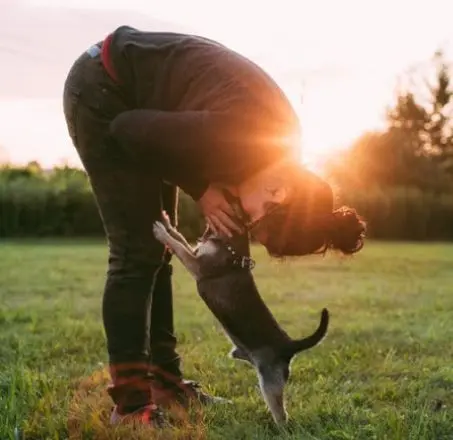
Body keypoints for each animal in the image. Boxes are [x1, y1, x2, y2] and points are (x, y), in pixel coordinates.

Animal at [152, 213, 328, 426]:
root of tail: (289, 345)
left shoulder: (197, 265)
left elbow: (178, 246)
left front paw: (161, 232)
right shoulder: (195, 252)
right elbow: (179, 237)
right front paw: (168, 224)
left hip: (270, 382)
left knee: (282, 414)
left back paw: (279, 427)